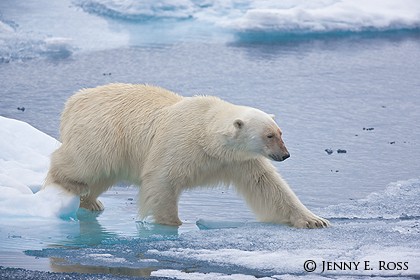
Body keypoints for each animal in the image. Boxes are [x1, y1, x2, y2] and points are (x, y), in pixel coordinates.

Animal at [44, 83, 330, 228]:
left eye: (280, 132)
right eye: (269, 136)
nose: (286, 155)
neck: (207, 136)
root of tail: (72, 101)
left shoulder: (237, 161)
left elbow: (268, 186)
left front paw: (313, 220)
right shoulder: (179, 144)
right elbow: (162, 180)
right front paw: (174, 222)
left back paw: (91, 201)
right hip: (103, 132)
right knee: (86, 163)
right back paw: (71, 185)